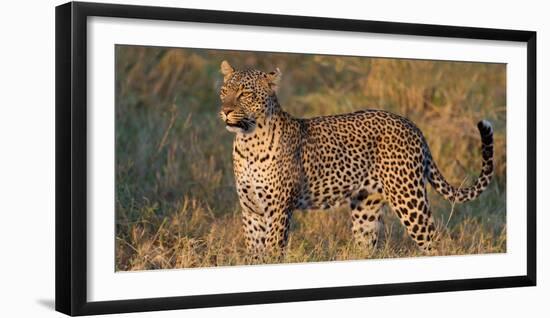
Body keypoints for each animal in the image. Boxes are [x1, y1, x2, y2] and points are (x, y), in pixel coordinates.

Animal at [219, 60, 496, 260]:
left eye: (244, 94)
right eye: (224, 91)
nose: (225, 111)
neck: (248, 143)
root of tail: (412, 125)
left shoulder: (278, 210)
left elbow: (273, 252)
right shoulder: (251, 211)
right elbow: (255, 255)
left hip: (409, 198)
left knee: (435, 242)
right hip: (366, 209)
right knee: (367, 248)